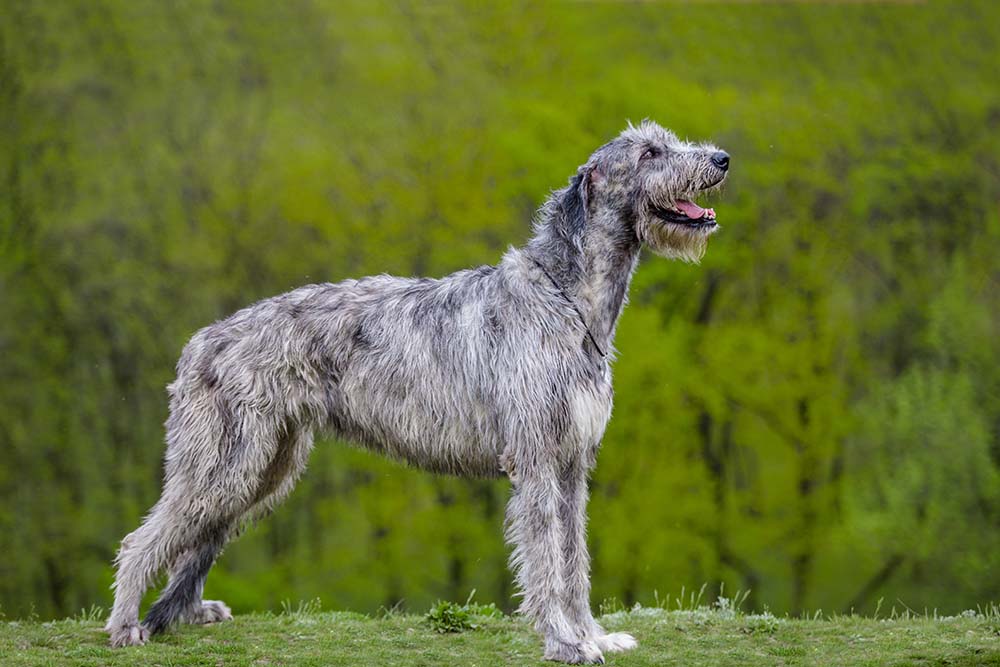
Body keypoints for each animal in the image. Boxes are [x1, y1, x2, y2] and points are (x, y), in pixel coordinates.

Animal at [105, 120, 732, 664]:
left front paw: (592, 634)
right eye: (649, 153)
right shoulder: (534, 458)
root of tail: (199, 342)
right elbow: (546, 560)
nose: (722, 158)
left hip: (266, 467)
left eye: (668, 140)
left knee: (198, 535)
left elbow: (574, 557)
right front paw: (564, 641)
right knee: (143, 538)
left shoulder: (574, 460)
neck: (566, 299)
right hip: (226, 459)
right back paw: (126, 626)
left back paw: (183, 613)